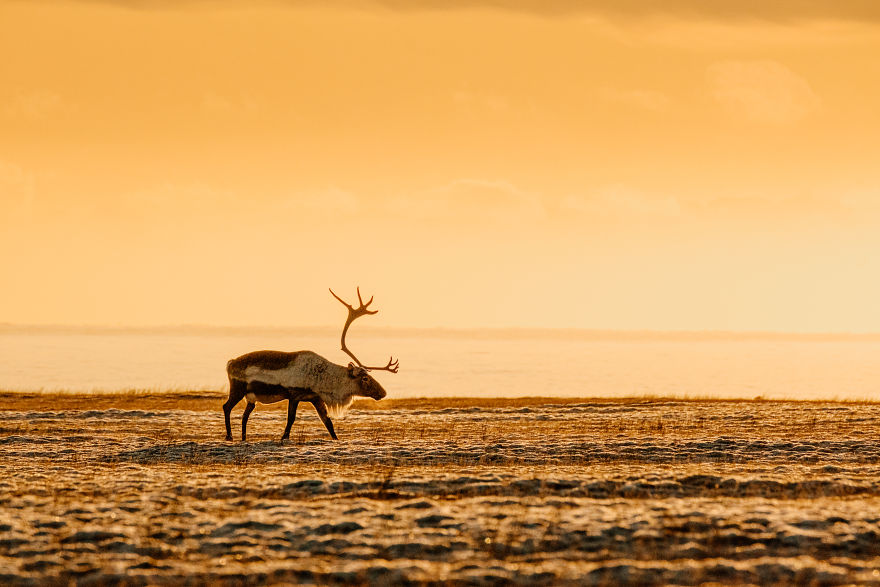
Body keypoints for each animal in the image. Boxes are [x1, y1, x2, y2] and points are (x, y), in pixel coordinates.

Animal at [223, 288, 399, 442]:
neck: (323, 380)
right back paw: (229, 436)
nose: (383, 392)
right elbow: (291, 419)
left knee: (245, 415)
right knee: (227, 407)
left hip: (251, 397)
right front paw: (284, 438)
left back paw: (243, 438)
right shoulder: (294, 394)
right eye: (365, 378)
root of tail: (230, 363)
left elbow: (328, 423)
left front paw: (336, 439)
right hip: (238, 388)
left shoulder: (315, 398)